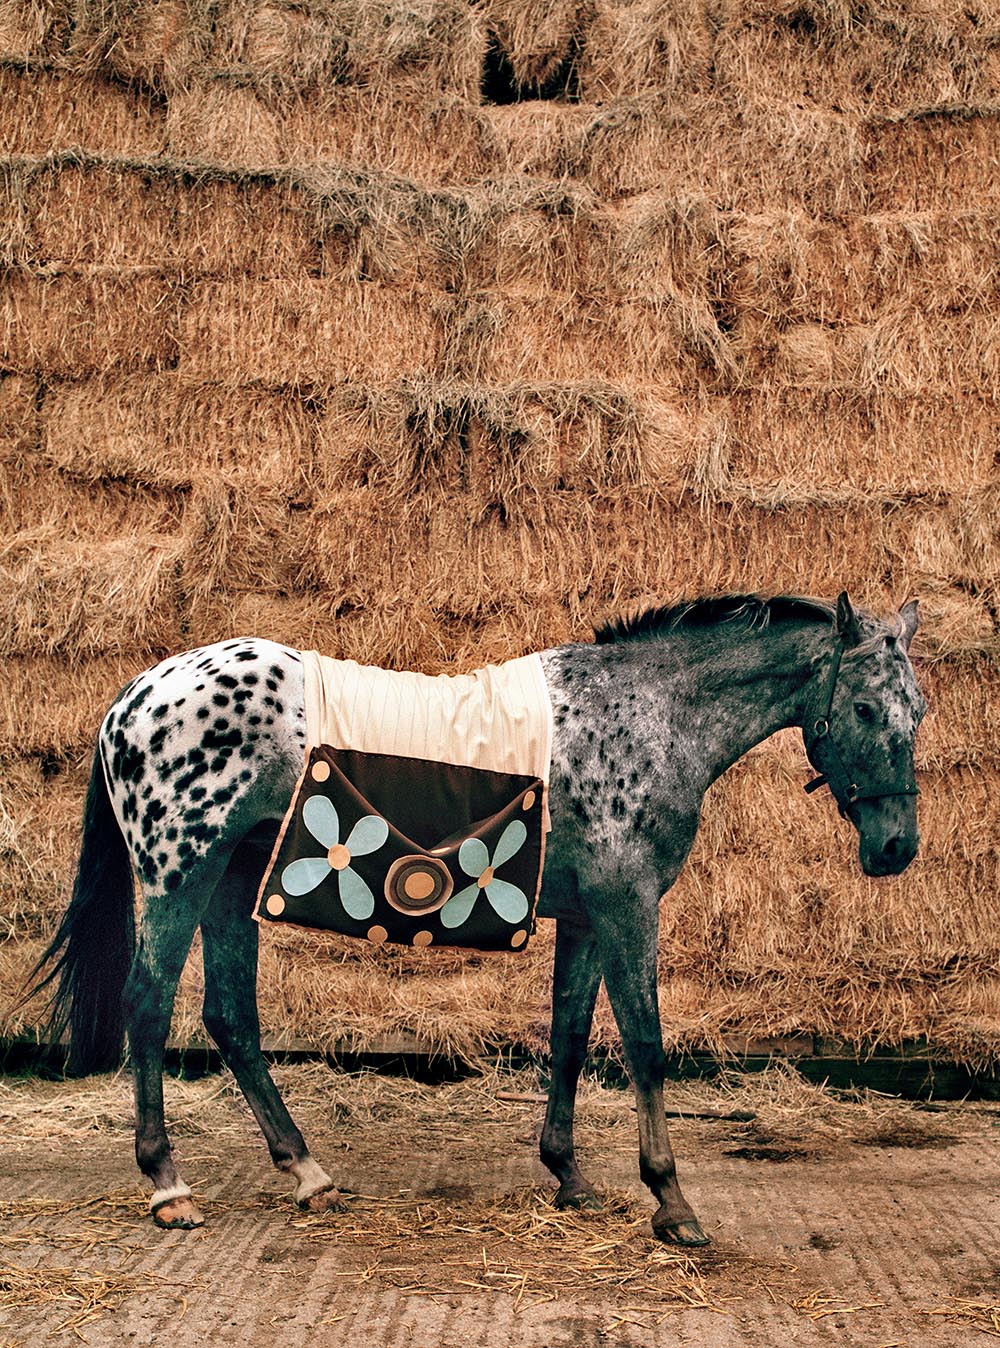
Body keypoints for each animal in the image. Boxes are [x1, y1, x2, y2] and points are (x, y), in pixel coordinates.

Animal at [29, 590, 921, 1240]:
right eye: (868, 711)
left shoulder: (586, 916)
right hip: (179, 875)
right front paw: (671, 1202)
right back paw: (167, 1184)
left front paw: (569, 1174)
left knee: (231, 1018)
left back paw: (306, 1172)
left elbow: (570, 1037)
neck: (647, 716)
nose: (897, 846)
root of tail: (134, 697)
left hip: (231, 883)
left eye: (919, 712)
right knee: (149, 1006)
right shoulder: (626, 905)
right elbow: (646, 1046)